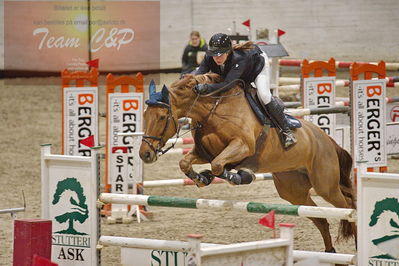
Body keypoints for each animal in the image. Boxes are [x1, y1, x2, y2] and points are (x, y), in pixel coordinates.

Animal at [140, 73, 356, 254]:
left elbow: (218, 165)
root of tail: (326, 139)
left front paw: (238, 176)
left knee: (347, 207)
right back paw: (330, 253)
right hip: (294, 192)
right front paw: (202, 178)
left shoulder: (242, 146)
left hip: (325, 186)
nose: (145, 154)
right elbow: (186, 162)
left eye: (162, 117)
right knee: (321, 219)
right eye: (144, 116)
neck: (215, 111)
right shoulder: (203, 153)